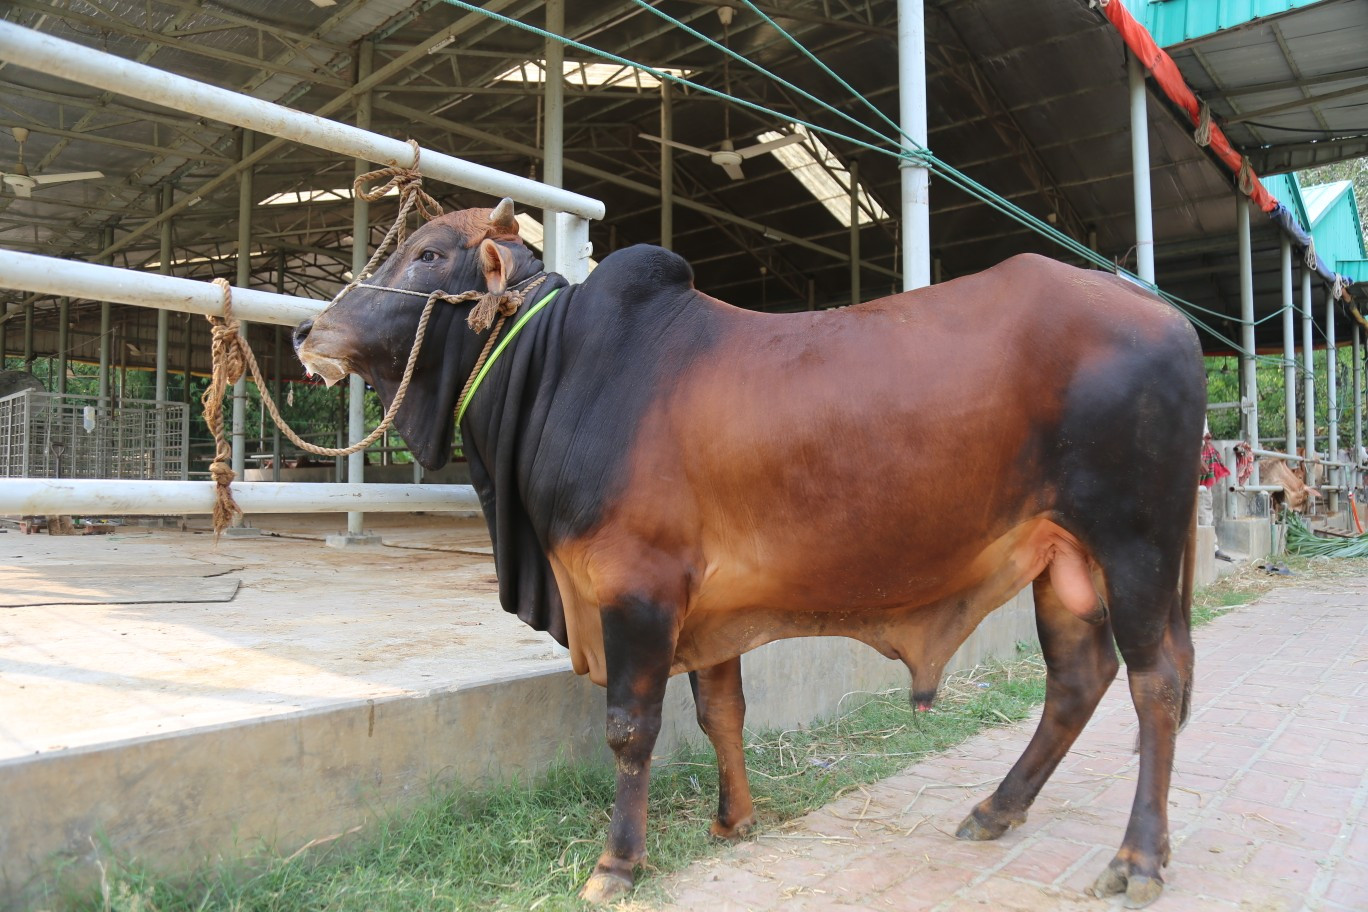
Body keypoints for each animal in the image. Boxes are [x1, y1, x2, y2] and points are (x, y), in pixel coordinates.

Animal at [294, 200, 1205, 908]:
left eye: (427, 253)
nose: (309, 327)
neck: (557, 367)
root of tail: (1172, 318)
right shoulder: (708, 608)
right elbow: (720, 711)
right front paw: (734, 820)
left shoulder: (637, 589)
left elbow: (631, 728)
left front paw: (616, 865)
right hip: (1064, 561)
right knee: (1078, 681)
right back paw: (996, 810)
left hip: (1135, 545)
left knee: (1156, 683)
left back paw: (1139, 860)